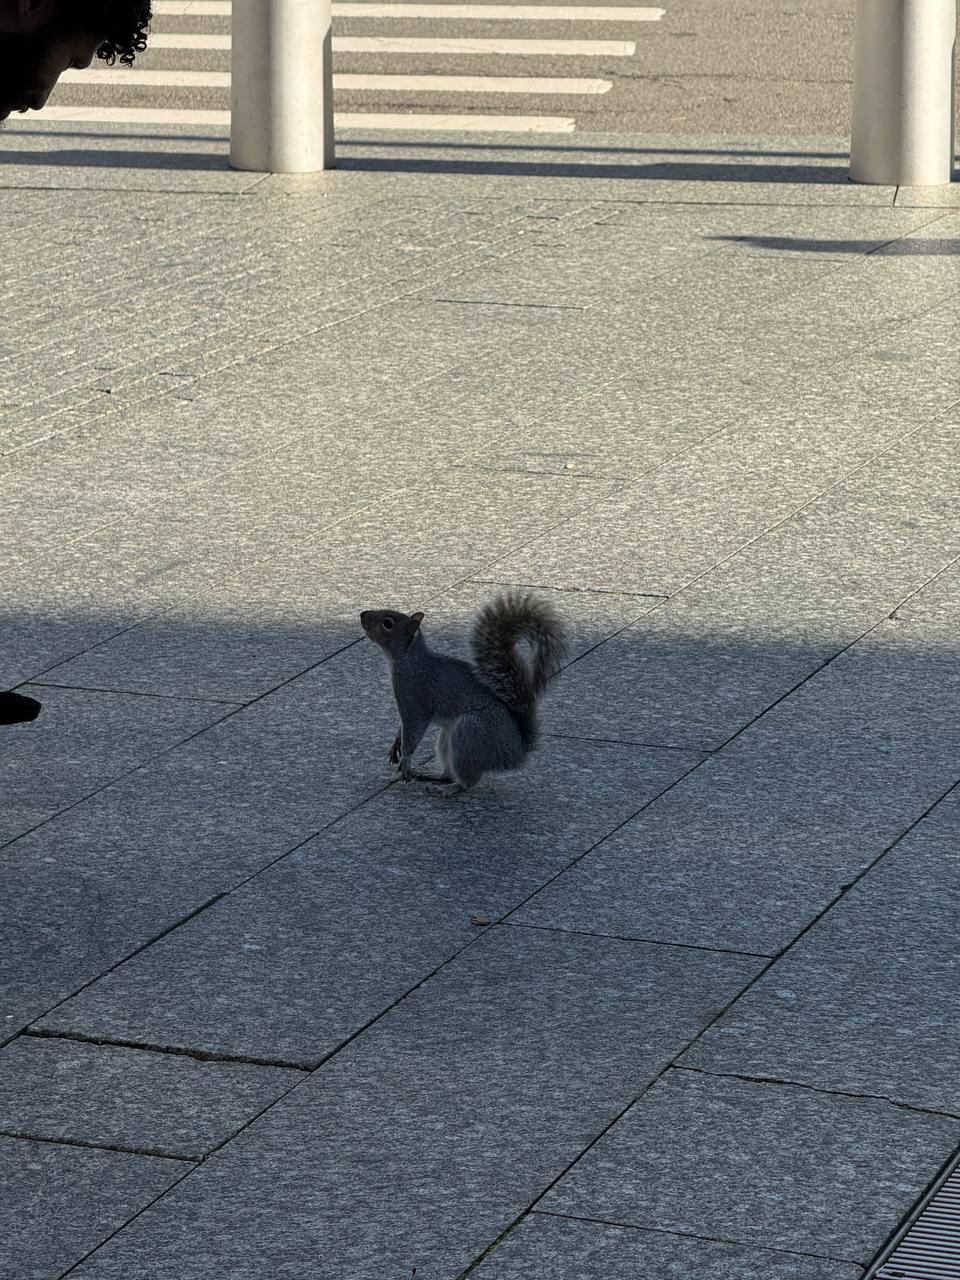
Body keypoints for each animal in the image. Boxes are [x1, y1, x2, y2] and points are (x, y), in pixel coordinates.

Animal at [360, 590, 568, 797]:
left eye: (388, 623)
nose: (362, 614)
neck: (407, 656)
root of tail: (516, 751)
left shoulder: (414, 695)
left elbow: (413, 729)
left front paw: (406, 759)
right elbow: (403, 728)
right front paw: (396, 744)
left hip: (470, 733)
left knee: (467, 781)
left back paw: (448, 789)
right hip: (448, 737)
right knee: (448, 773)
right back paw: (430, 775)